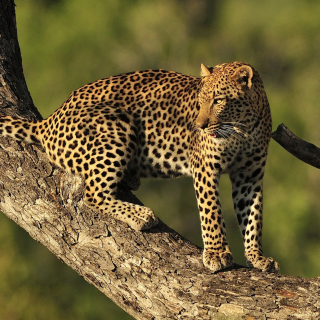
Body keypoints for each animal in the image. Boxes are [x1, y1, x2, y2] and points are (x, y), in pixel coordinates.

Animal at [0, 60, 280, 272]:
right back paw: (141, 215)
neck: (242, 129)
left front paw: (257, 257)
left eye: (219, 100)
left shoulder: (250, 175)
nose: (199, 126)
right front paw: (217, 253)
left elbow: (253, 217)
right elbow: (211, 212)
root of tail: (49, 120)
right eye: (200, 101)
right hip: (116, 127)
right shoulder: (206, 169)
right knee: (94, 194)